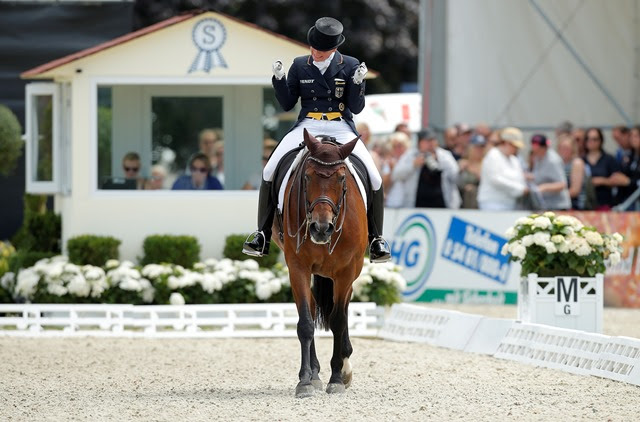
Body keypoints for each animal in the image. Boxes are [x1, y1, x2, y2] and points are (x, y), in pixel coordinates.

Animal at [272, 127, 370, 398]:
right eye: (306, 177)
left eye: (342, 178)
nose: (320, 228)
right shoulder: (298, 268)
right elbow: (306, 323)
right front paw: (306, 381)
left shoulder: (347, 272)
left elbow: (338, 321)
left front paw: (337, 377)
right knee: (314, 308)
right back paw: (315, 373)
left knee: (343, 312)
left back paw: (344, 365)